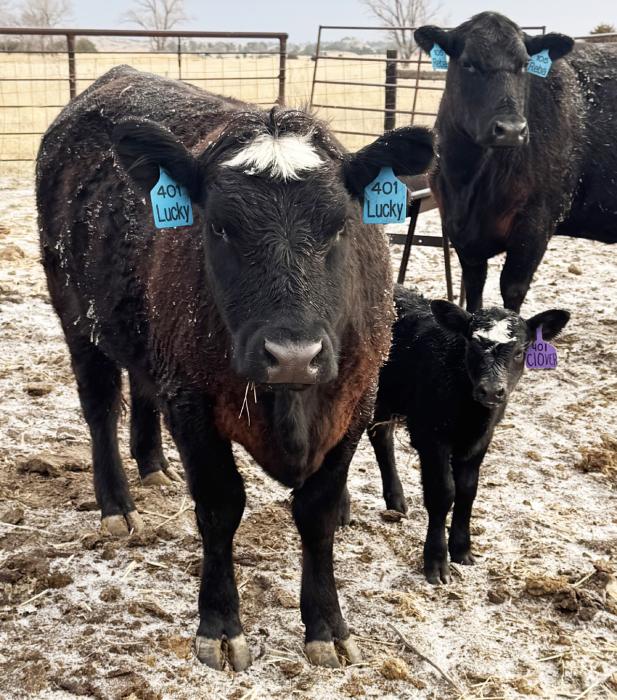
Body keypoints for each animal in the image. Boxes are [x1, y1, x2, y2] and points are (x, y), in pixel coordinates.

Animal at [36, 66, 433, 671]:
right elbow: (221, 506)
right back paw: (118, 505)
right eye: (220, 228)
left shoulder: (357, 400)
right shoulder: (193, 404)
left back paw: (153, 464)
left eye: (339, 226)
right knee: (100, 407)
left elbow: (317, 512)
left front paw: (327, 625)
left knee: (141, 389)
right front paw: (220, 626)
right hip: (76, 315)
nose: (293, 354)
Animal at [369, 285, 570, 584]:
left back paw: (395, 500)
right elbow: (443, 492)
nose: (491, 391)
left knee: (380, 436)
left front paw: (462, 550)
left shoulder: (481, 440)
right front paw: (437, 562)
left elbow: (467, 490)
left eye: (520, 351)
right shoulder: (431, 435)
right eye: (472, 346)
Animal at [415, 12, 617, 313]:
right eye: (468, 63)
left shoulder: (537, 222)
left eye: (525, 64)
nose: (511, 129)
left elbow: (512, 288)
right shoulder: (458, 229)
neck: (469, 182)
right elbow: (474, 288)